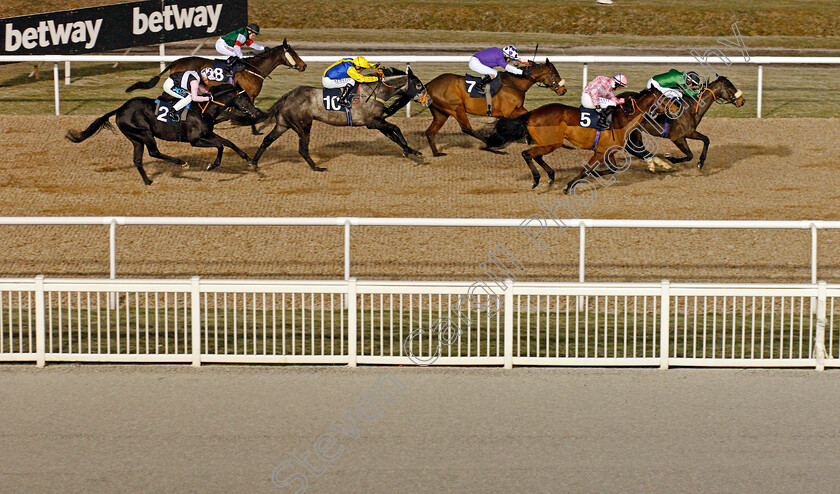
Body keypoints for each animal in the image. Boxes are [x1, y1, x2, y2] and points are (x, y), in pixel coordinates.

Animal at [67, 85, 260, 185]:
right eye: (244, 98)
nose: (256, 112)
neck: (203, 109)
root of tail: (120, 109)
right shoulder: (195, 139)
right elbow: (220, 145)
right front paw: (212, 165)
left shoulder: (208, 133)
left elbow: (228, 142)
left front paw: (250, 161)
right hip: (145, 133)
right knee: (154, 152)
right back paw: (181, 163)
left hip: (136, 139)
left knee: (138, 160)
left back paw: (148, 181)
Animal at [123, 39, 306, 133]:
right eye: (294, 53)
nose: (303, 66)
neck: (253, 69)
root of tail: (175, 61)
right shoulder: (248, 95)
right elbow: (245, 113)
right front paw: (252, 129)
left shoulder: (240, 96)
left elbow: (236, 112)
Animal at [248, 67, 434, 172]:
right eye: (418, 85)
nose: (430, 100)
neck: (375, 92)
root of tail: (286, 96)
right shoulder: (372, 122)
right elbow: (396, 128)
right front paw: (411, 151)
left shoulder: (377, 122)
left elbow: (393, 135)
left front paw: (410, 150)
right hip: (303, 125)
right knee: (302, 149)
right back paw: (317, 168)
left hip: (283, 124)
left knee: (267, 140)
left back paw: (253, 163)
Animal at [386, 59, 564, 156]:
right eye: (555, 74)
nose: (563, 90)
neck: (515, 83)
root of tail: (429, 84)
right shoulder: (509, 111)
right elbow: (523, 118)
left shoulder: (515, 109)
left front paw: (530, 137)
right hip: (456, 108)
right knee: (467, 129)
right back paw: (491, 145)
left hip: (441, 113)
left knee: (430, 132)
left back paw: (437, 153)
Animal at [486, 91, 676, 192]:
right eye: (664, 98)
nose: (676, 107)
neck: (621, 120)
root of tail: (531, 113)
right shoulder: (599, 152)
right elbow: (586, 170)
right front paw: (569, 186)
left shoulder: (607, 152)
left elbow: (611, 169)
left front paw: (595, 175)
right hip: (551, 143)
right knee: (527, 153)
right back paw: (537, 179)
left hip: (549, 143)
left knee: (536, 155)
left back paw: (550, 177)